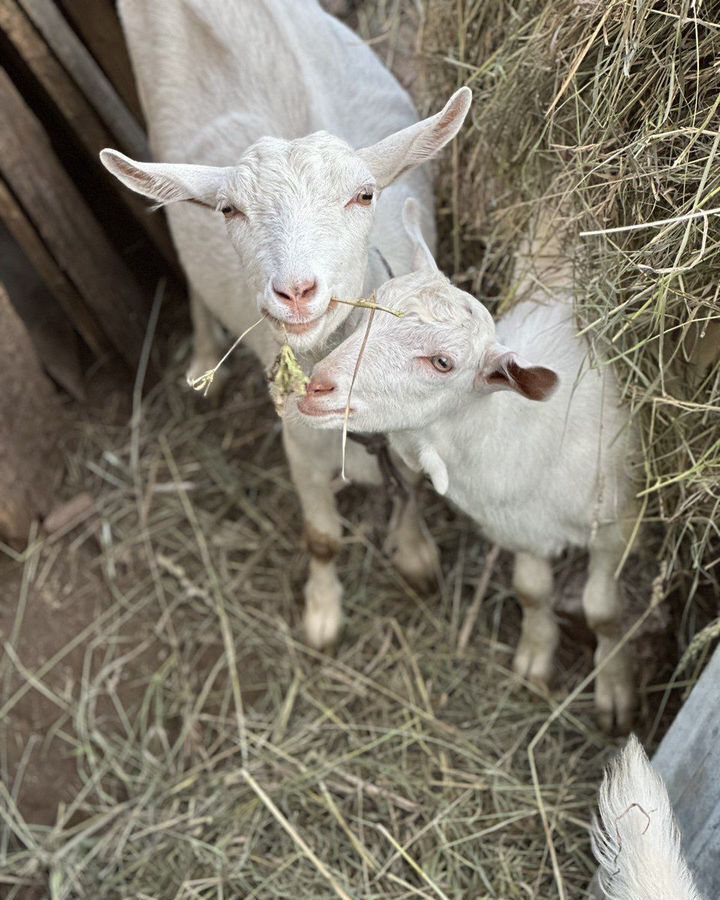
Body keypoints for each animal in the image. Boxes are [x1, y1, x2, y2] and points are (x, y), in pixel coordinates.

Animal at [100, 0, 472, 648]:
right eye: (229, 209)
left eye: (365, 195)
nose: (296, 292)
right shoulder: (297, 443)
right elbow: (322, 538)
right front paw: (322, 616)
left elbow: (411, 493)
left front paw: (416, 555)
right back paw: (204, 359)